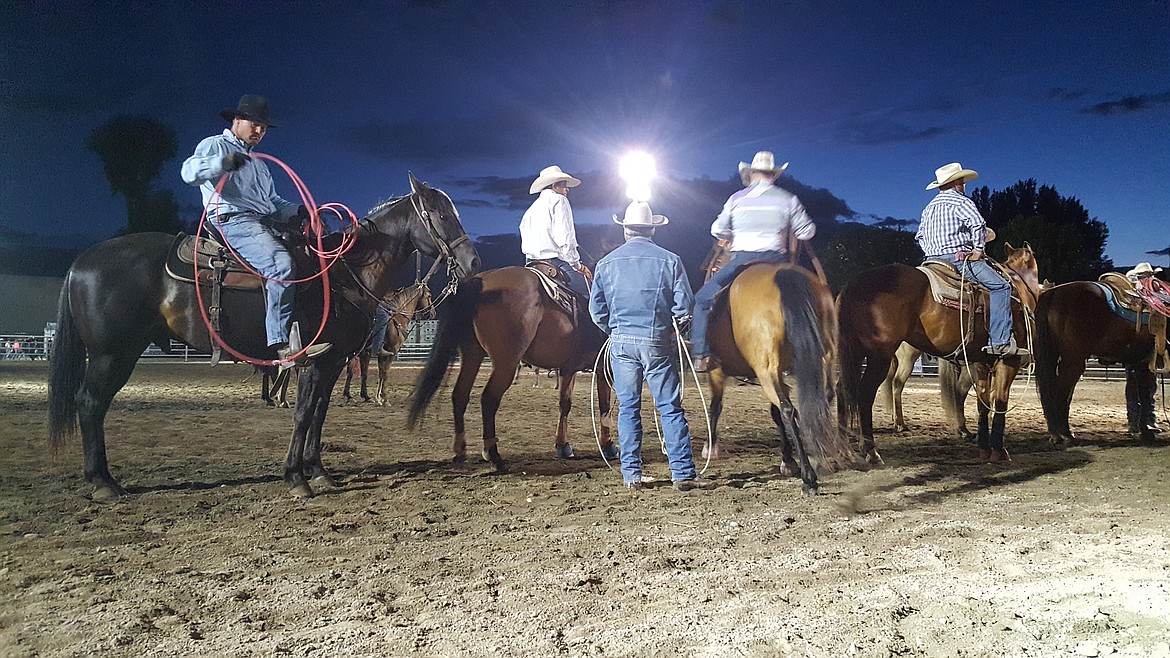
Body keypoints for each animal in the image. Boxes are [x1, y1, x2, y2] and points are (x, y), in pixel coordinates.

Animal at [49, 173, 479, 496]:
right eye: (440, 214)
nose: (473, 261)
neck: (344, 274)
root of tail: (81, 261)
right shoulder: (313, 362)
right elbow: (304, 412)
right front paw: (296, 477)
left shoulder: (333, 362)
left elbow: (320, 413)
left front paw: (318, 470)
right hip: (111, 354)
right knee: (89, 404)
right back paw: (103, 482)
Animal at [407, 263, 617, 468]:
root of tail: (480, 281)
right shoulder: (604, 370)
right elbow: (605, 406)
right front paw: (608, 446)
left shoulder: (568, 369)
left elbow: (565, 404)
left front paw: (563, 446)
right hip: (506, 363)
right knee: (488, 398)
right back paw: (492, 453)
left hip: (472, 355)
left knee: (459, 395)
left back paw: (460, 450)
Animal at [697, 261, 856, 491]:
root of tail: (784, 275)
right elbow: (775, 413)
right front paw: (788, 460)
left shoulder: (718, 372)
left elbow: (715, 408)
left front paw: (710, 448)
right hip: (824, 357)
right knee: (820, 399)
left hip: (765, 369)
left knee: (789, 409)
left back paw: (809, 476)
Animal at [837, 241, 1038, 461]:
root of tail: (852, 285)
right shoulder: (1008, 362)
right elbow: (999, 402)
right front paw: (999, 450)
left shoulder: (981, 362)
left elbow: (982, 404)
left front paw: (983, 447)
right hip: (879, 356)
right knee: (867, 392)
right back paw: (871, 451)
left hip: (855, 353)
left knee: (843, 389)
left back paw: (845, 449)